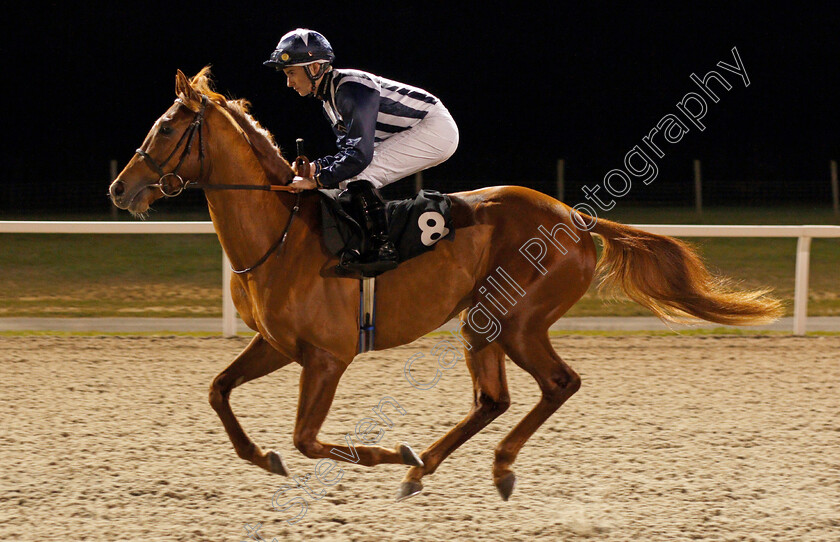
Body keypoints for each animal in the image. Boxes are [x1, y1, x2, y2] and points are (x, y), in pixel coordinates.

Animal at [110, 68, 780, 502]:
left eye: (166, 128)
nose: (120, 189)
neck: (283, 233)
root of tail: (573, 217)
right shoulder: (277, 344)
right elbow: (220, 392)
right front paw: (264, 458)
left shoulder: (327, 356)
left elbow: (307, 439)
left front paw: (389, 454)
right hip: (481, 320)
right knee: (494, 399)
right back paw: (428, 467)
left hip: (517, 319)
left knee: (557, 384)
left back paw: (476, 464)